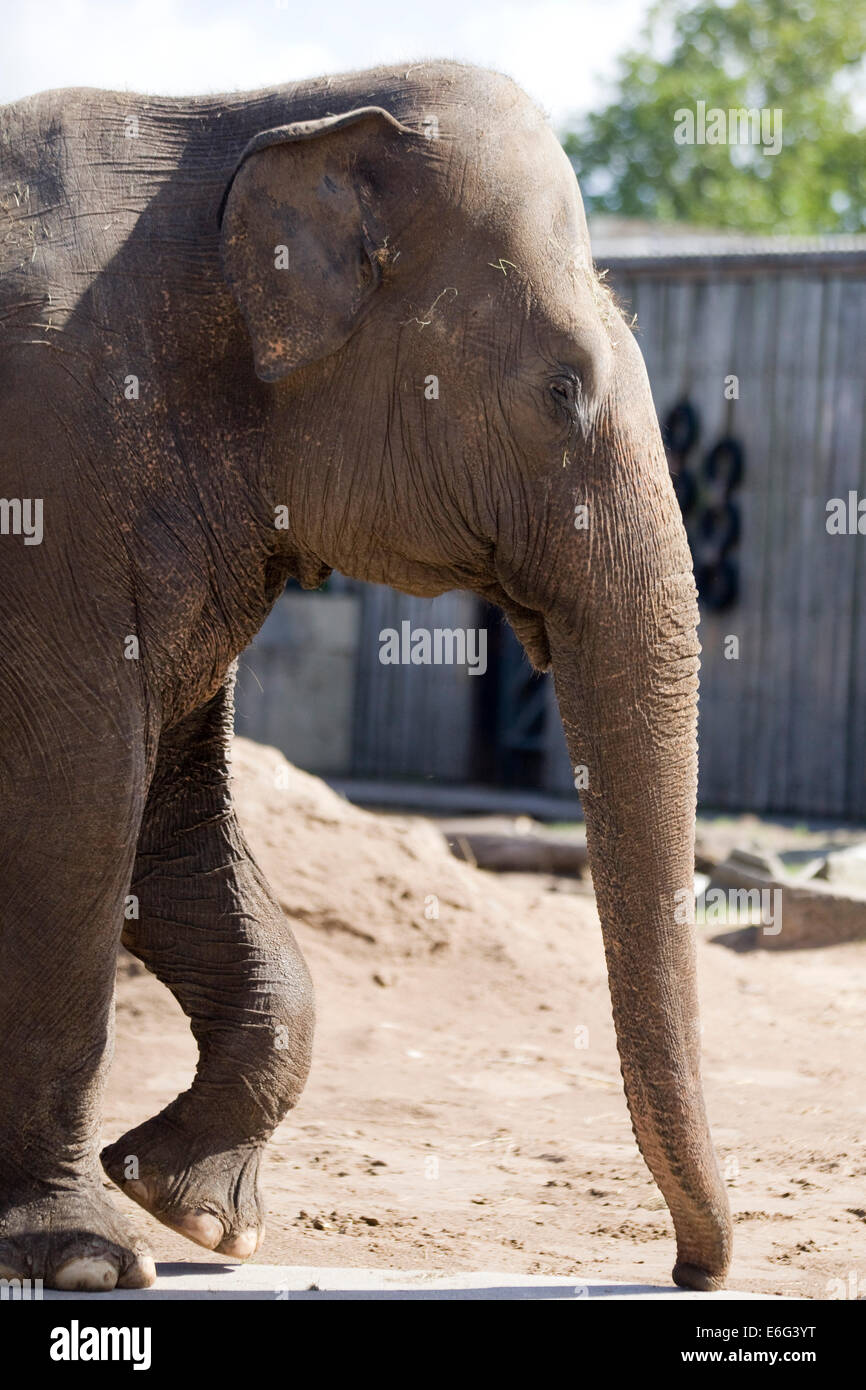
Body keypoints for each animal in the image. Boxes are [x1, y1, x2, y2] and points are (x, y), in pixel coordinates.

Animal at [0, 54, 733, 1289]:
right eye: (561, 390)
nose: (689, 1271)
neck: (274, 107)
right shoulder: (53, 482)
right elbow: (78, 805)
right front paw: (90, 1256)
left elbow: (169, 821)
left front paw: (194, 1213)